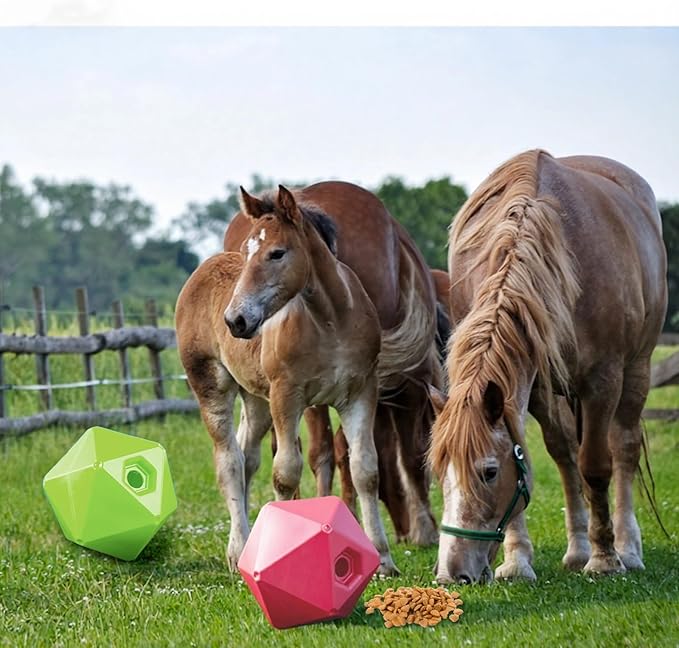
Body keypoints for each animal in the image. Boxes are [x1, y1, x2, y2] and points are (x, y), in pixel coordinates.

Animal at [222, 181, 442, 546]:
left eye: (277, 254)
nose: (236, 319)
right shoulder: (406, 385)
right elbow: (410, 453)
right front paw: (425, 528)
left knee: (305, 450)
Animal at [429, 149, 667, 584]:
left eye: (489, 472)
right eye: (440, 473)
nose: (451, 573)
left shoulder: (603, 380)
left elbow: (596, 466)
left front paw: (605, 558)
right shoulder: (534, 385)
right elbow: (543, 454)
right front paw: (519, 560)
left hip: (637, 369)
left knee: (623, 449)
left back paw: (627, 547)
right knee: (565, 455)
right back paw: (577, 549)